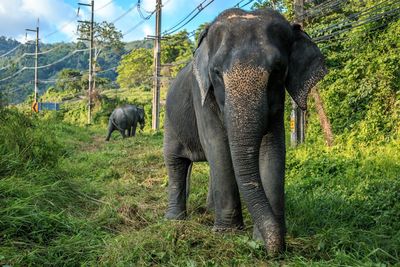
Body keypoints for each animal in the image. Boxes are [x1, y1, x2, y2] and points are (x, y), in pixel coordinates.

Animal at [162, 7, 324, 255]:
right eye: (216, 72)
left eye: (278, 70)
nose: (274, 248)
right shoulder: (202, 95)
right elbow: (217, 144)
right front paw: (228, 233)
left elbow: (274, 147)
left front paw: (264, 240)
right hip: (170, 121)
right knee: (175, 162)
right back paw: (174, 220)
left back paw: (209, 211)